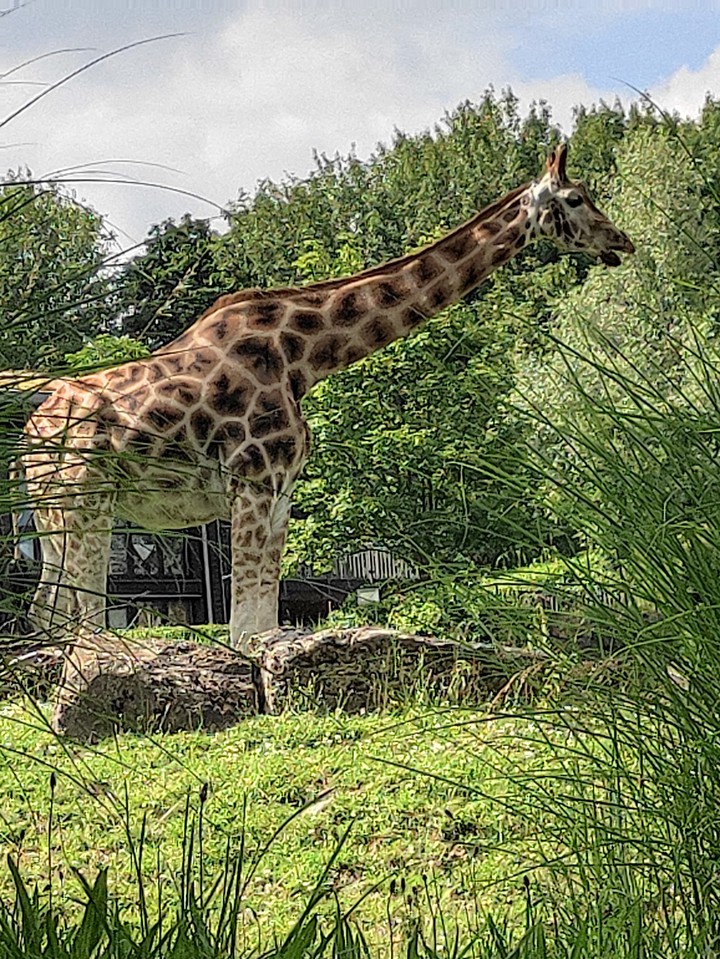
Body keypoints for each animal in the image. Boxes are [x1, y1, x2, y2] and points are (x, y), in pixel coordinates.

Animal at [18, 143, 634, 652]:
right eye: (576, 199)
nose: (622, 243)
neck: (305, 358)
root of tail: (32, 427)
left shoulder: (279, 488)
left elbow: (262, 615)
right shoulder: (252, 481)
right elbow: (246, 623)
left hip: (54, 510)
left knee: (47, 607)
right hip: (85, 500)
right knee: (76, 610)